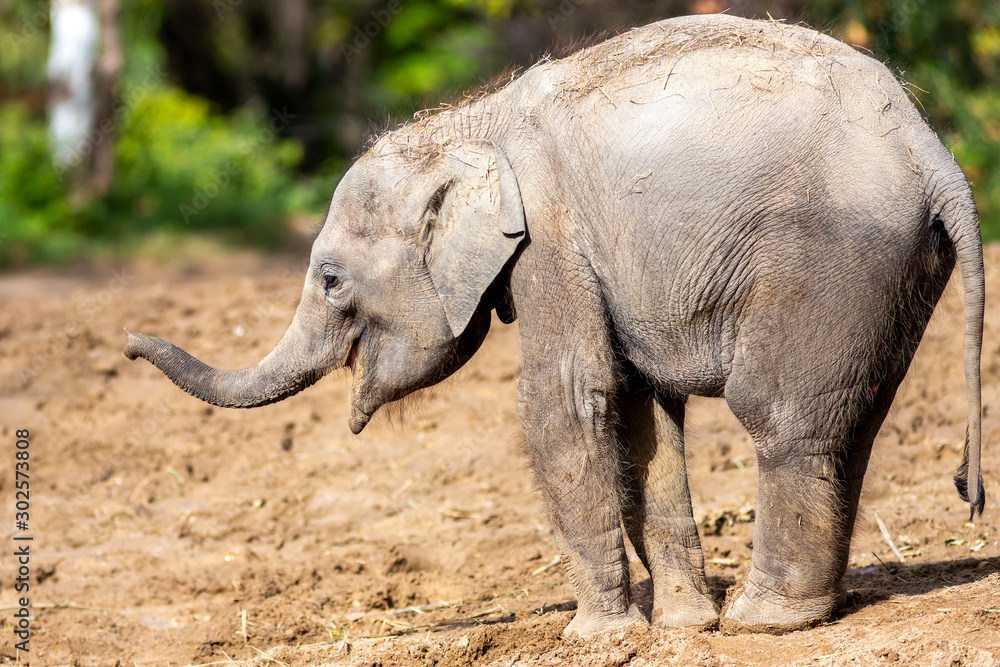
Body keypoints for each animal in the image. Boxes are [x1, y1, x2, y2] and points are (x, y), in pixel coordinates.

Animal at [125, 14, 986, 637]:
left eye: (332, 280)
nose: (129, 343)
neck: (470, 120)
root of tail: (929, 146)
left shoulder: (551, 238)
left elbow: (566, 402)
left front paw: (598, 638)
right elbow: (639, 414)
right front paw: (680, 627)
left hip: (828, 258)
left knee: (778, 414)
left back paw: (763, 622)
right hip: (890, 273)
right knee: (847, 421)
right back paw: (786, 610)